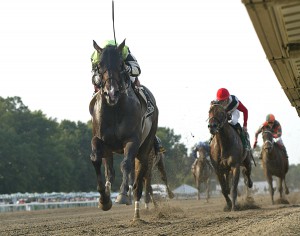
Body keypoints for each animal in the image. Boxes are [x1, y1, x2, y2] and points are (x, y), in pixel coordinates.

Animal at [89, 39, 158, 221]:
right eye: (99, 64)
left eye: (121, 64)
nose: (111, 92)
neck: (114, 109)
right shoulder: (100, 139)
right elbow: (96, 159)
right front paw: (104, 199)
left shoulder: (132, 140)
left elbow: (126, 164)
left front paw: (122, 195)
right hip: (110, 149)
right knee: (110, 171)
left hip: (145, 150)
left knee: (138, 182)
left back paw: (137, 214)